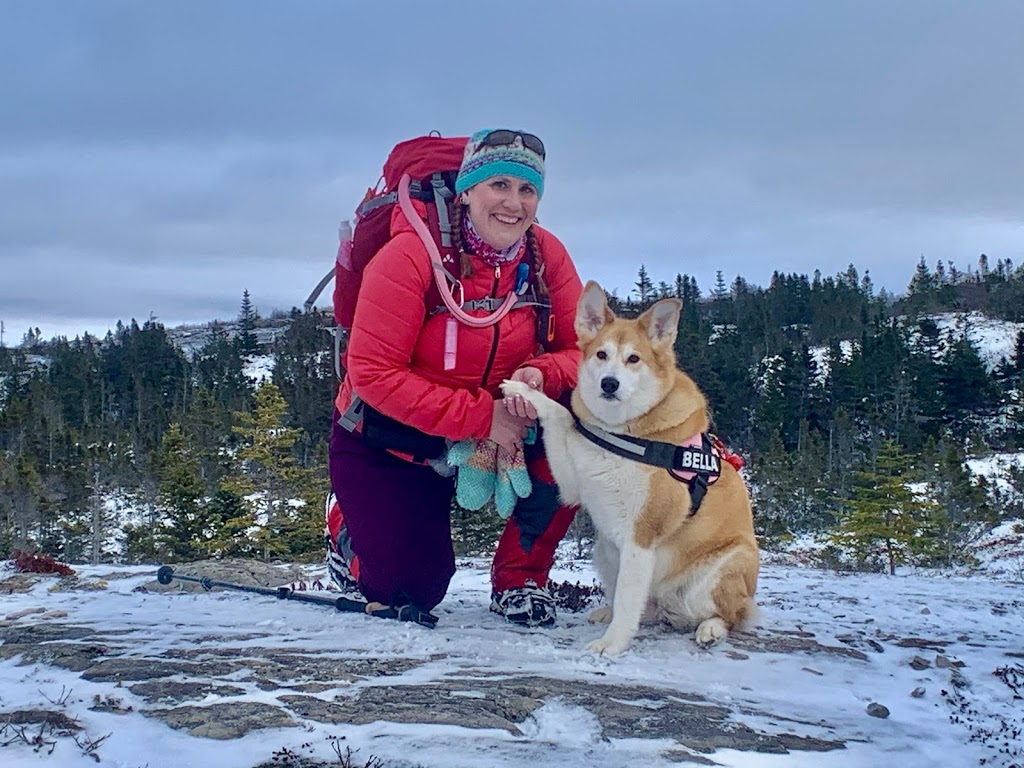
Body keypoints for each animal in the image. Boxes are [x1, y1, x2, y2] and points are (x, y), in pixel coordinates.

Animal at [503, 282, 761, 655]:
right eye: (601, 355)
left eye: (633, 359)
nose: (609, 383)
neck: (622, 432)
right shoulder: (572, 484)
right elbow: (561, 413)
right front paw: (524, 390)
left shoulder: (641, 537)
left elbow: (628, 600)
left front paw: (611, 645)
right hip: (605, 550)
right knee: (643, 608)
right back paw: (608, 612)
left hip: (722, 570)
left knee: (732, 615)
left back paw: (710, 629)